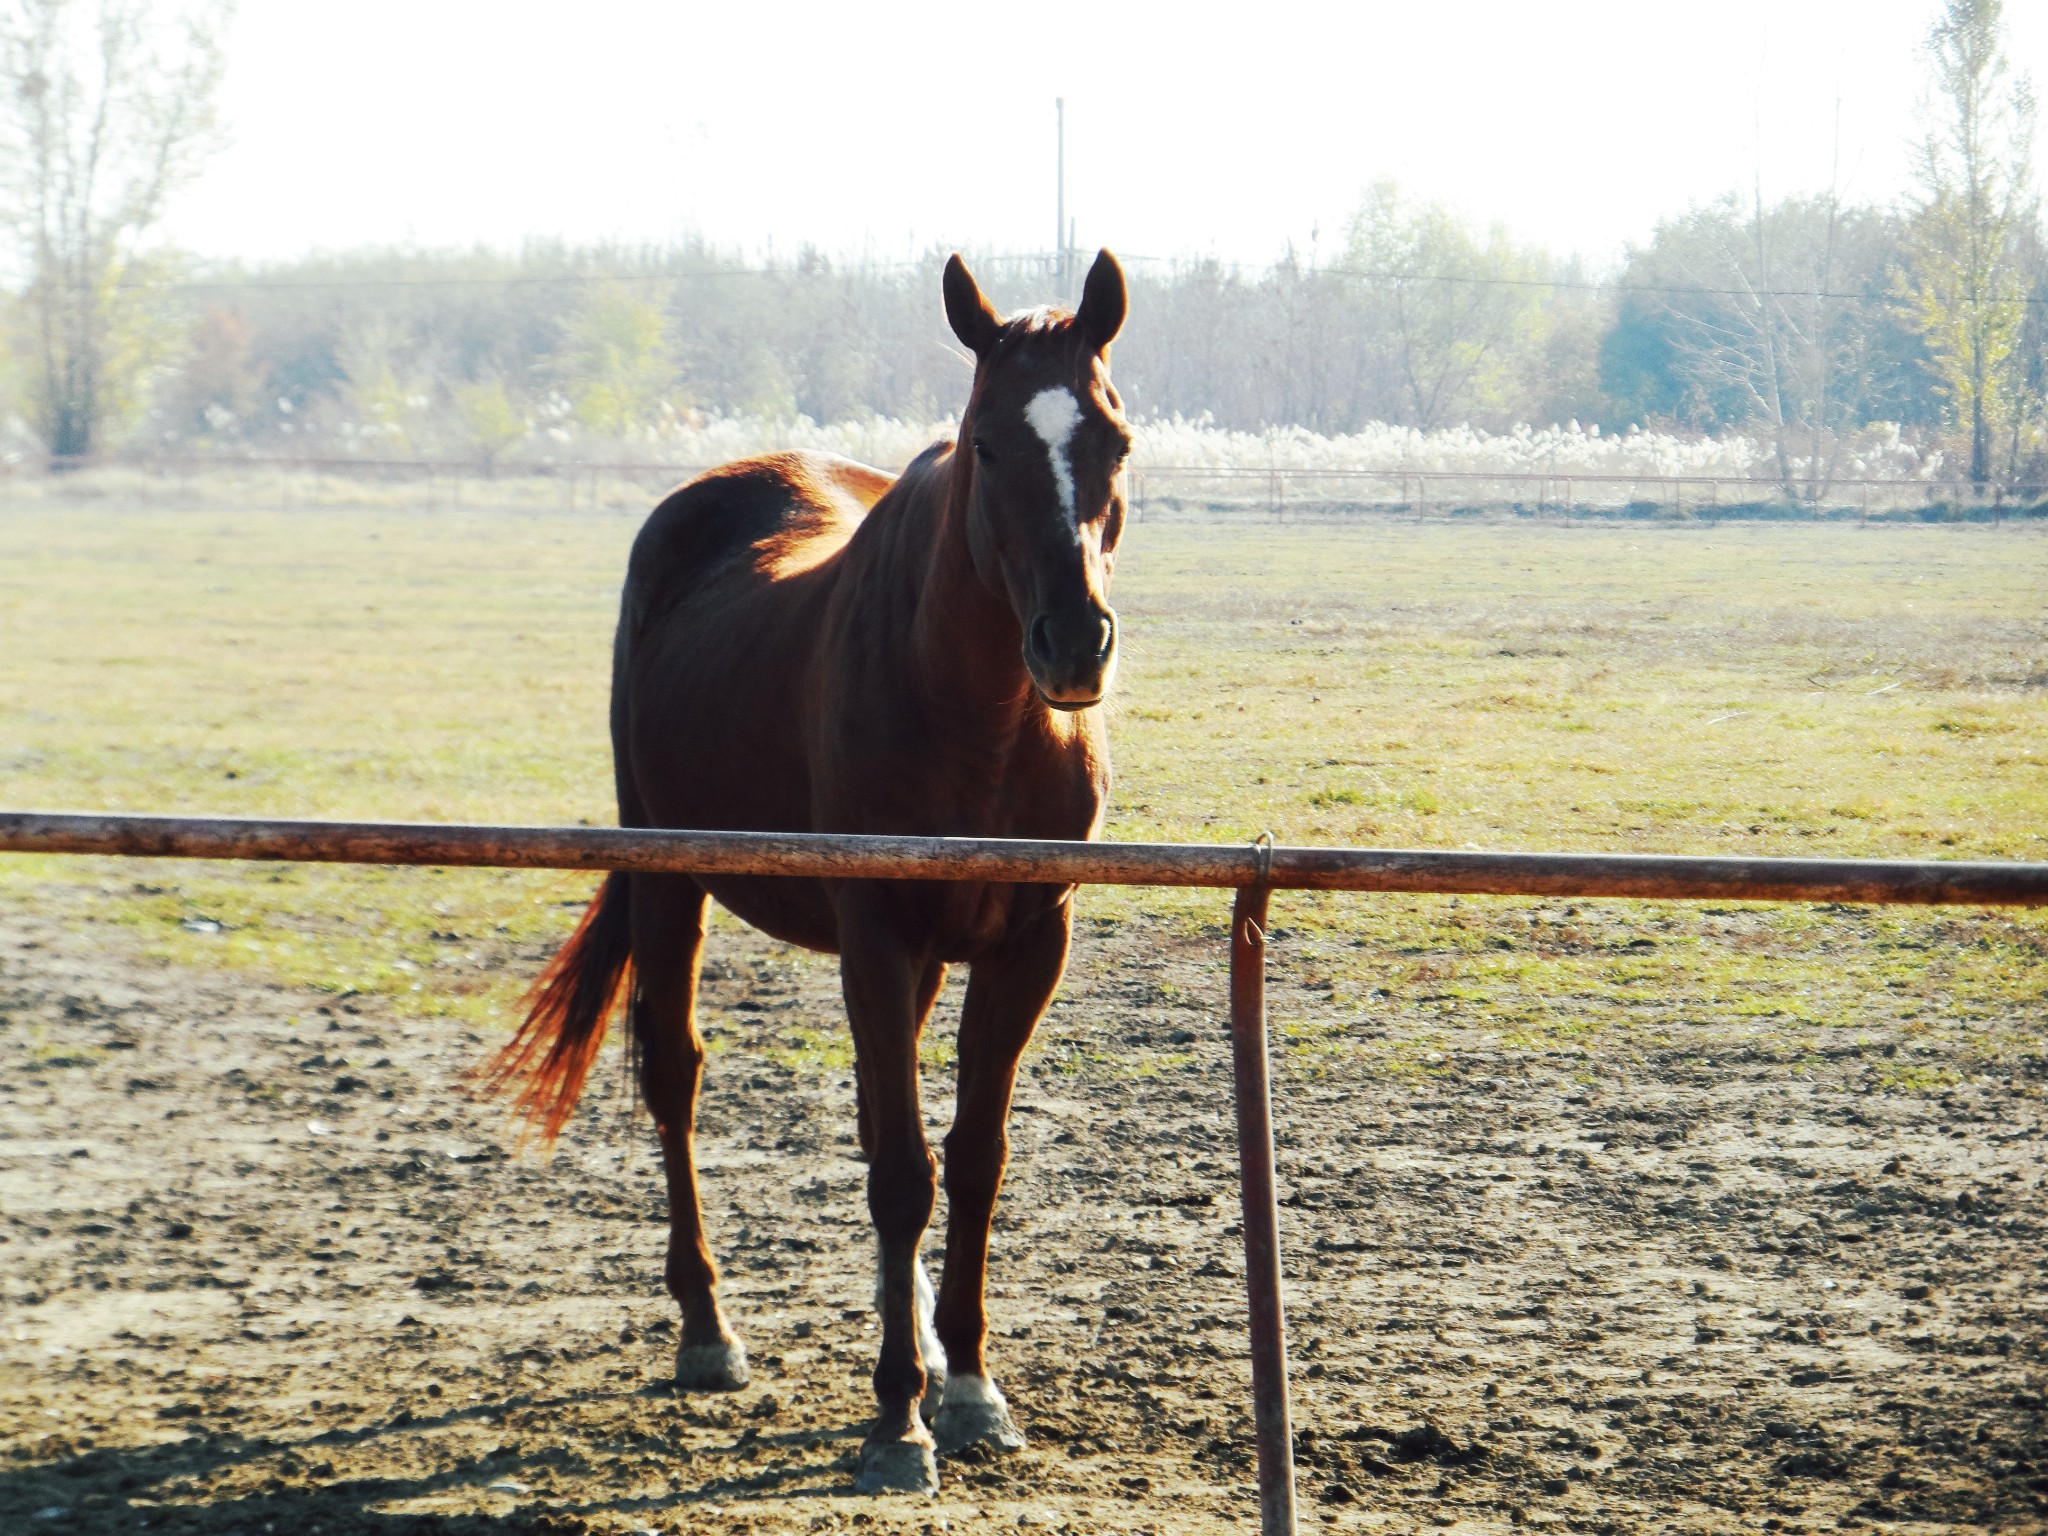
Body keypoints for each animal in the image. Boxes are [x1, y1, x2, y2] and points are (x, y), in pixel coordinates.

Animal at [485, 249, 1138, 1490]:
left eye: (1113, 440)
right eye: (986, 442)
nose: (1073, 645)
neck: (978, 711)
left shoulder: (1028, 942)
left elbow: (969, 1159)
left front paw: (965, 1383)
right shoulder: (875, 938)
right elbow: (901, 1174)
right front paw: (897, 1419)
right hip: (670, 883)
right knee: (676, 1079)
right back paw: (707, 1331)